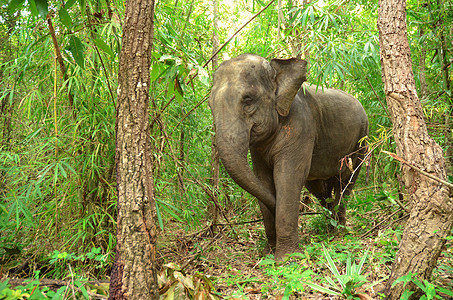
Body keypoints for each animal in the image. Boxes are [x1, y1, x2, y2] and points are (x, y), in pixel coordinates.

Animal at [208, 53, 368, 258]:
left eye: (248, 99)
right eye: (210, 104)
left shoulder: (302, 126)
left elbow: (287, 177)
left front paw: (287, 257)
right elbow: (263, 180)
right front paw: (268, 252)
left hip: (362, 140)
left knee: (346, 181)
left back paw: (339, 230)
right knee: (320, 188)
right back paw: (329, 227)